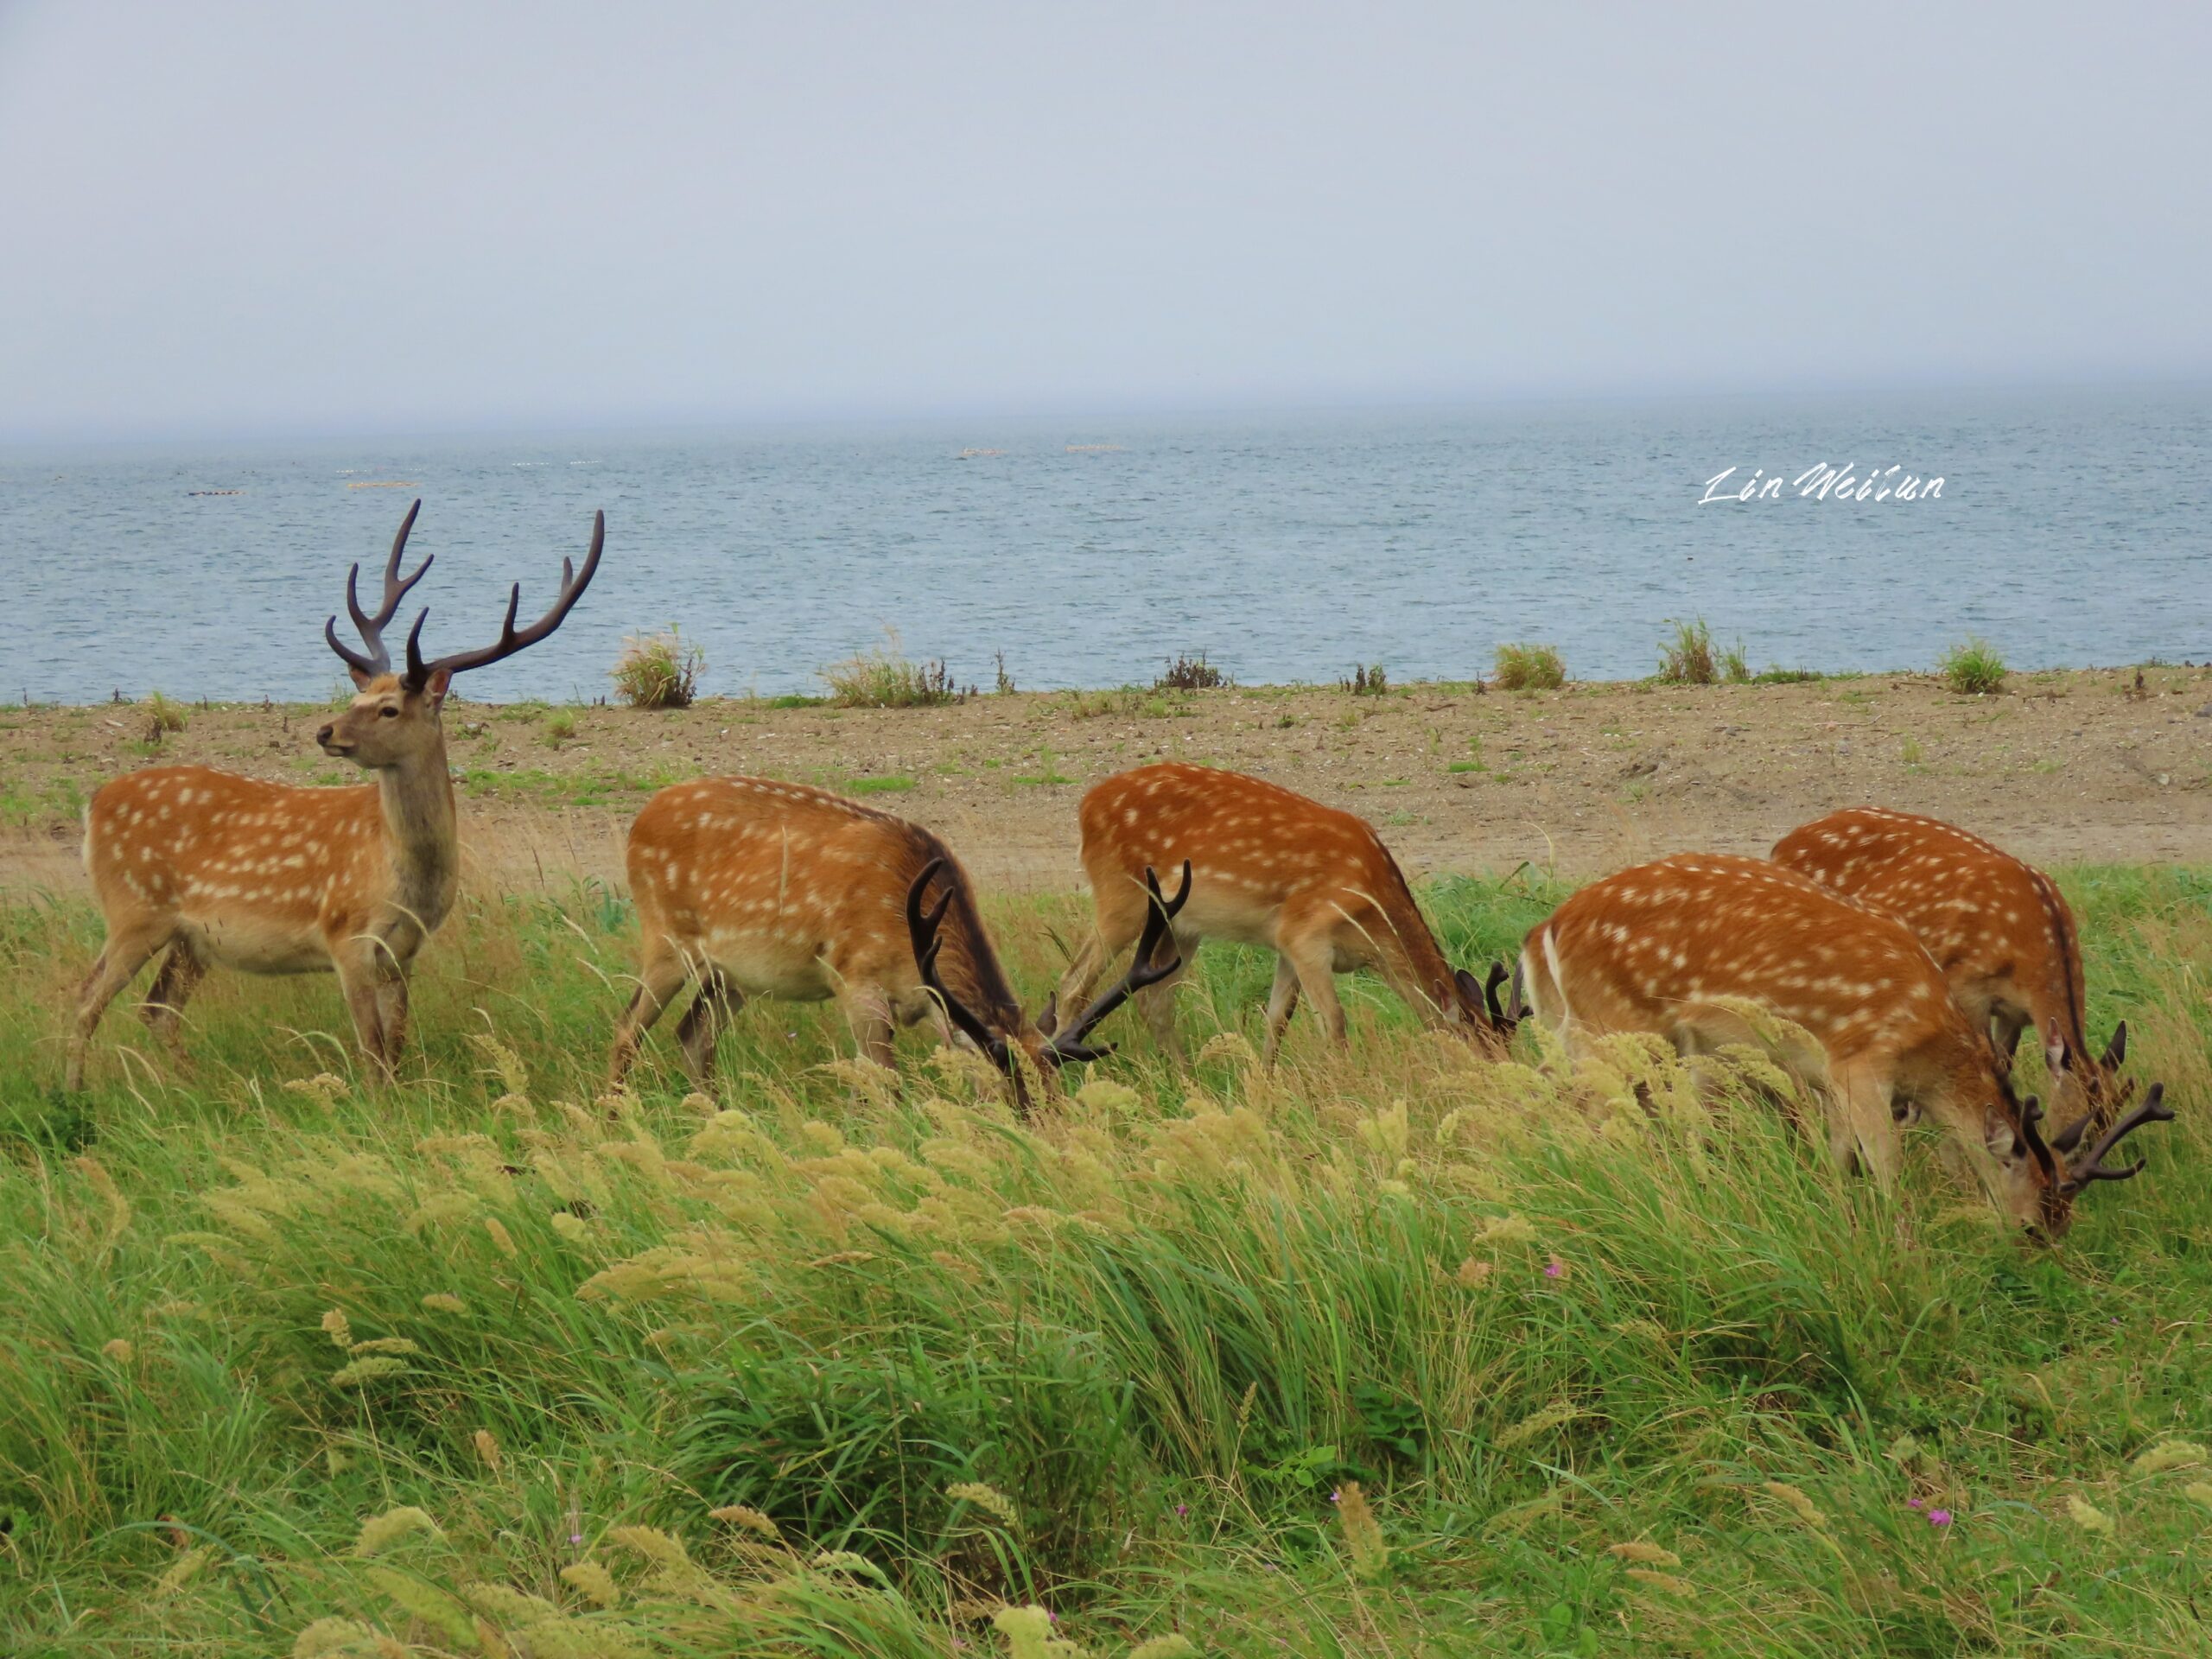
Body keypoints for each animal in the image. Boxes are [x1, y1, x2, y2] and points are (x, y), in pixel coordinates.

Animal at [66, 500, 604, 1090]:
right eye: (356, 697)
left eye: (389, 708)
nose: (326, 731)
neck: (405, 878)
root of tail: (94, 803)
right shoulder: (345, 935)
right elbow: (371, 1049)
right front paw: (375, 1104)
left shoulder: (404, 952)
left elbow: (395, 1046)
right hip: (134, 909)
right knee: (86, 998)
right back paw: (71, 1093)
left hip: (192, 938)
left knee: (157, 1010)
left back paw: (200, 1086)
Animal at [607, 776, 1191, 1107]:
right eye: (1009, 1095)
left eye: (1057, 1093)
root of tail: (639, 820)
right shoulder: (855, 978)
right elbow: (882, 1085)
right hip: (665, 935)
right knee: (626, 1030)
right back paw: (614, 1122)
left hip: (733, 972)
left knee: (692, 1034)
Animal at [1051, 762, 1517, 1064]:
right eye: (1485, 1056)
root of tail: (1084, 808)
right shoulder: (1305, 933)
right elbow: (1334, 1022)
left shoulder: (1286, 944)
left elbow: (1277, 1018)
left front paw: (1263, 1086)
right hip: (1120, 896)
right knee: (1073, 983)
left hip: (1179, 925)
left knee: (1155, 1000)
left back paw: (1185, 1079)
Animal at [1516, 852, 2173, 1237]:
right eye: (2038, 1219)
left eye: (2067, 1219)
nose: (2044, 1254)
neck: (1928, 1045)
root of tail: (1541, 931)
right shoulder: (1862, 1059)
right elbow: (1887, 1166)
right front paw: (1903, 1245)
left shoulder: (1829, 1075)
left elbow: (1839, 1157)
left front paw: (1838, 1216)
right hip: (1612, 1027)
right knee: (1588, 1123)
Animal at [1772, 806, 2155, 1150]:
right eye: (2078, 1128)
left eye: (2108, 1123)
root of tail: (1780, 845)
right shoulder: (1966, 988)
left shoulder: (2013, 1014)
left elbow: (2005, 1062)